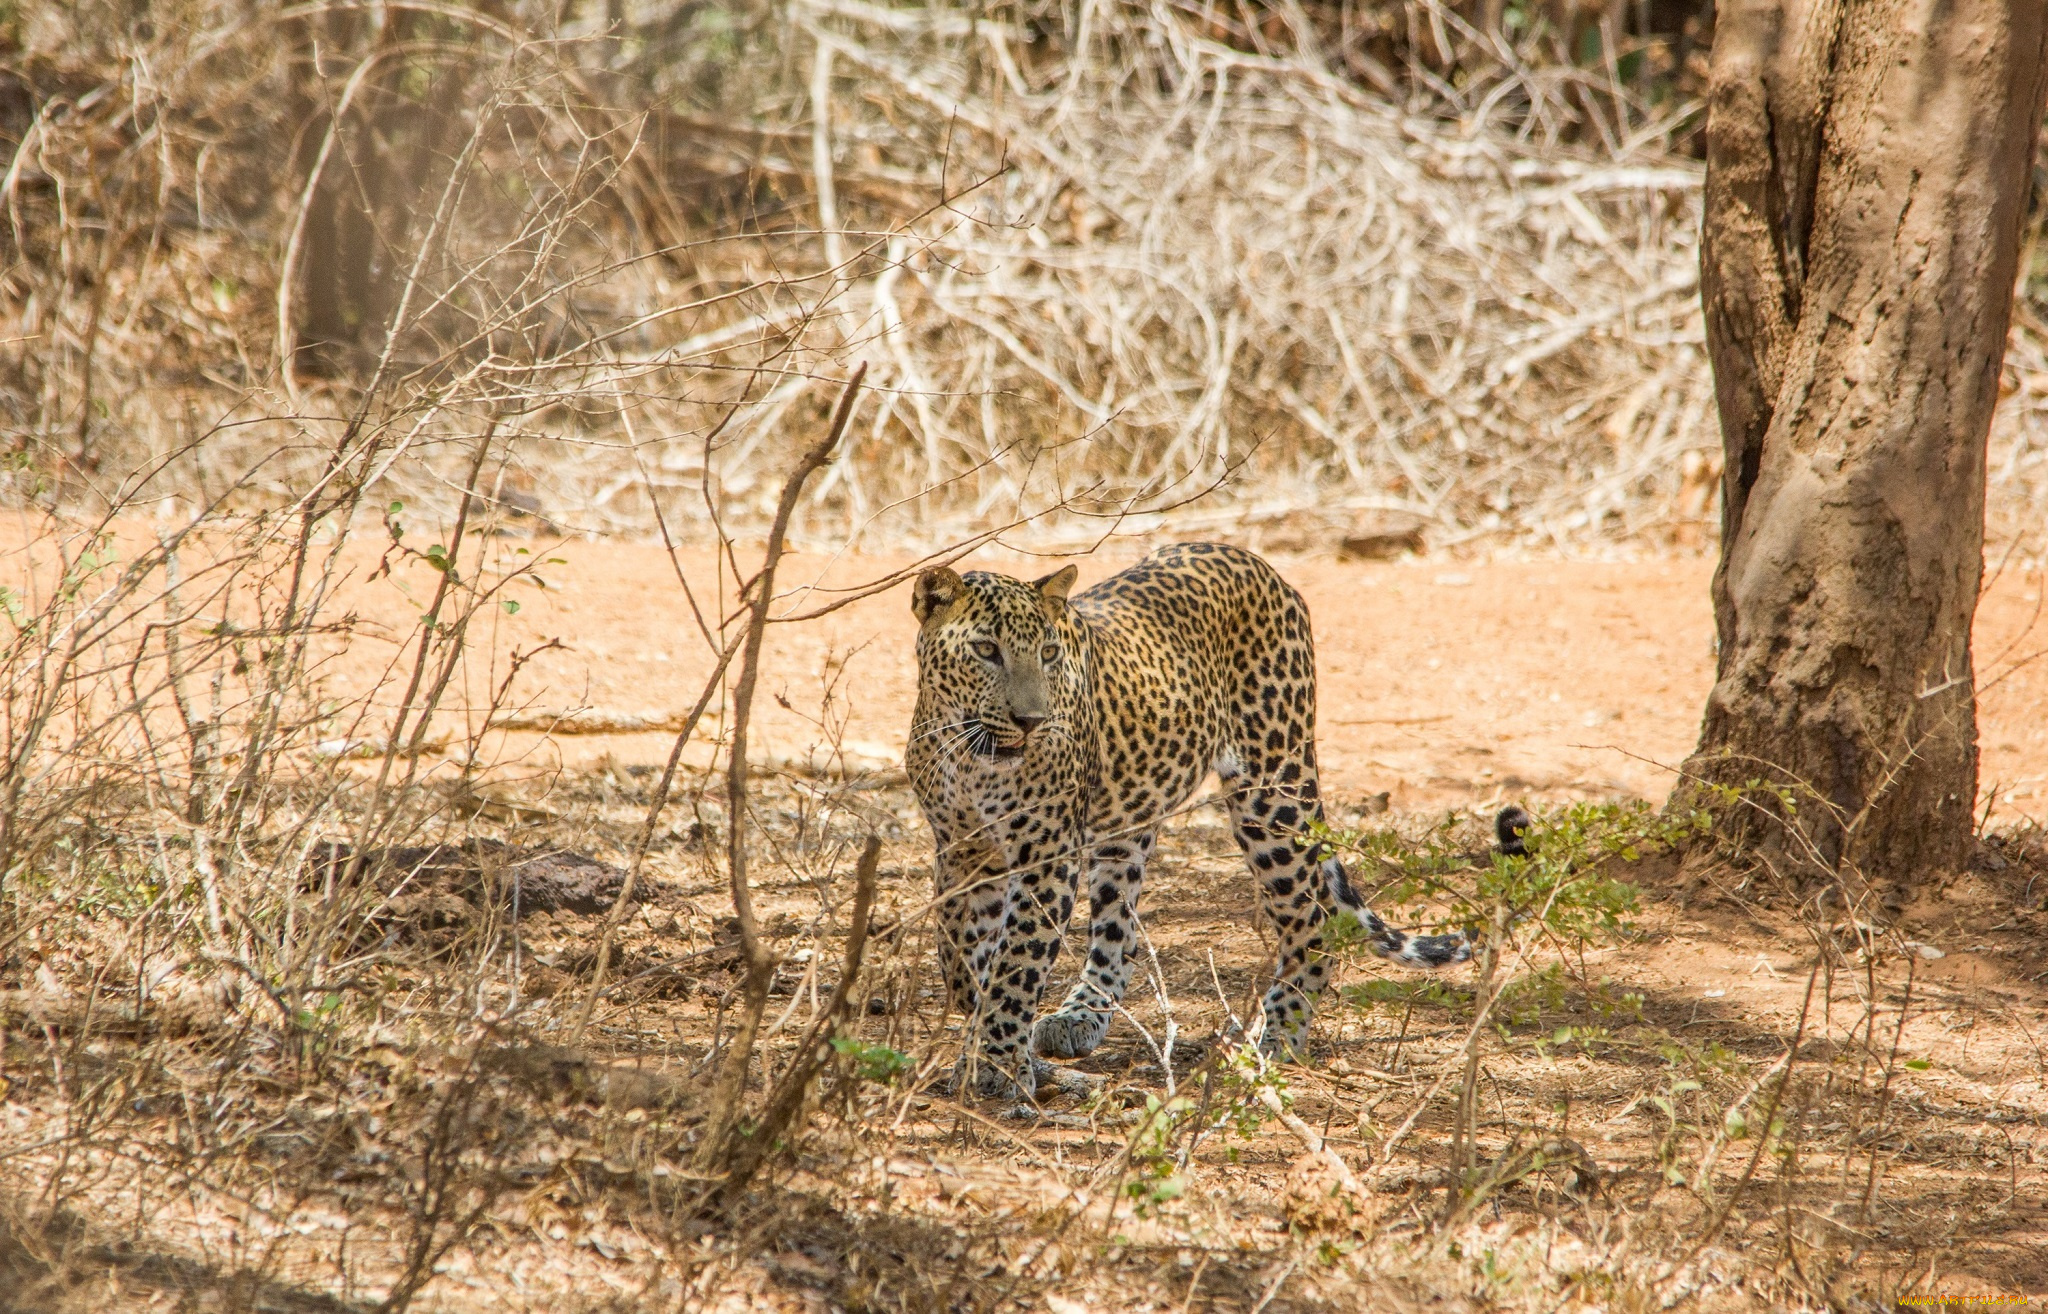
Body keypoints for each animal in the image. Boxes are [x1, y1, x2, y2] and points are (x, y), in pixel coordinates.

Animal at [913, 536, 1523, 1097]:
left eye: (1047, 653)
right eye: (986, 650)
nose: (1032, 720)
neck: (970, 755)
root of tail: (1256, 561)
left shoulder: (1046, 855)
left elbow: (1017, 962)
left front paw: (996, 1064)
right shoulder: (961, 852)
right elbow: (960, 955)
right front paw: (979, 1036)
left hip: (1271, 792)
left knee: (1314, 919)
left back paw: (1275, 1038)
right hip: (1130, 823)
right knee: (1119, 928)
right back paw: (1079, 1017)